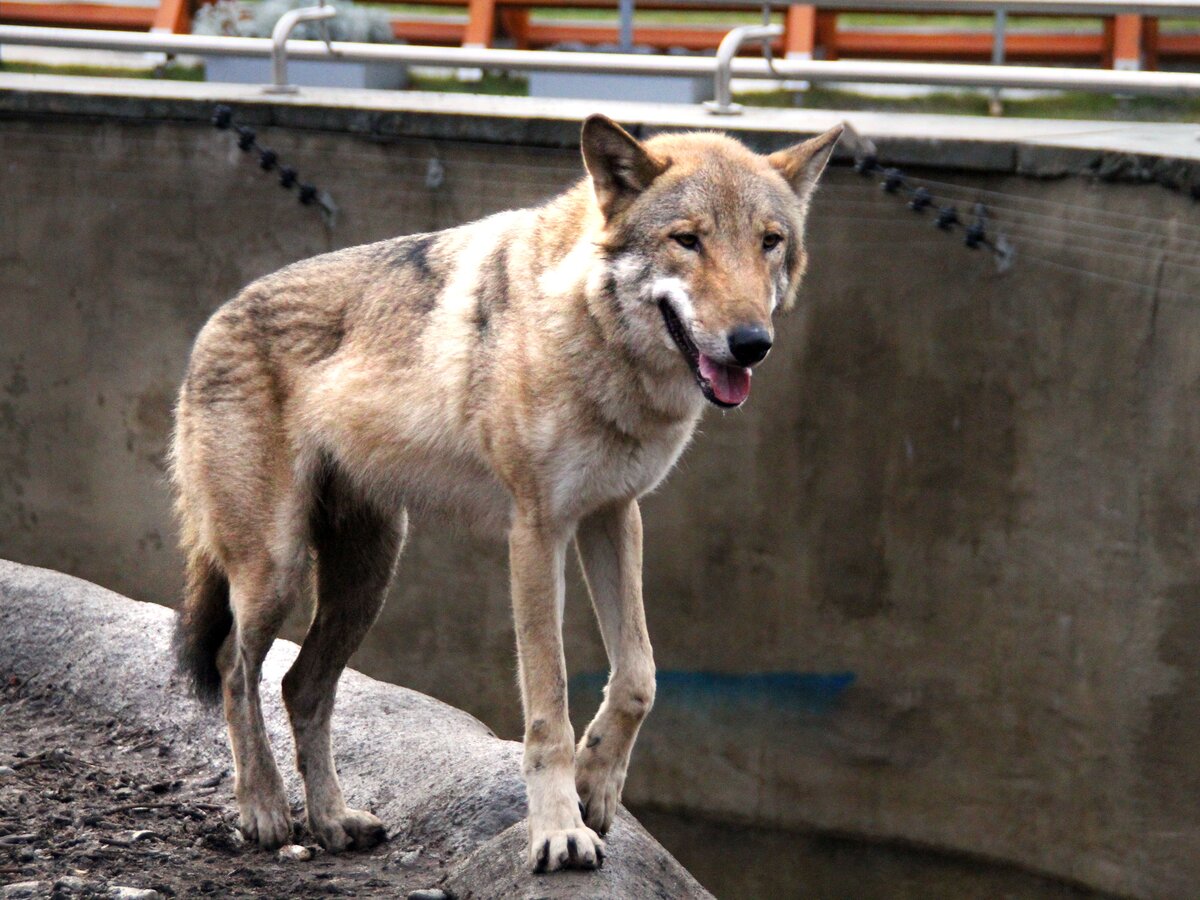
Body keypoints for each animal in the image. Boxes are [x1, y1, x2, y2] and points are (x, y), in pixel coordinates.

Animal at [171, 114, 844, 873]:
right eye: (688, 240)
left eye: (769, 241)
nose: (752, 342)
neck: (590, 333)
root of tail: (211, 322)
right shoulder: (537, 532)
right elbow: (549, 704)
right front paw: (558, 832)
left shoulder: (614, 515)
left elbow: (639, 676)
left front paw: (597, 787)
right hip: (277, 571)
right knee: (234, 667)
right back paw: (263, 809)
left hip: (369, 579)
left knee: (299, 685)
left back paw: (333, 820)